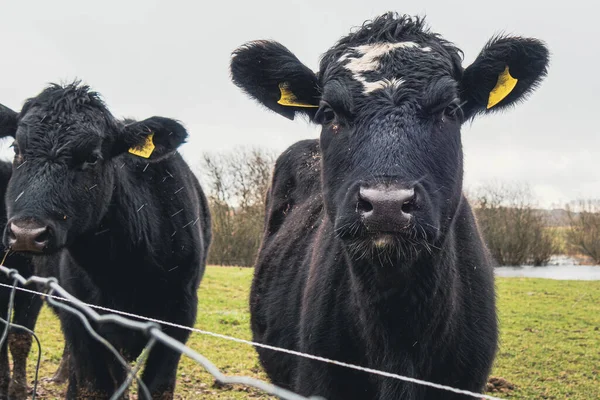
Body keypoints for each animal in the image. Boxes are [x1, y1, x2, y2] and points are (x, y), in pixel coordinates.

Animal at [0, 82, 211, 400]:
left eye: (92, 156)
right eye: (17, 149)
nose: (26, 233)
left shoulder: (181, 313)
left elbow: (158, 388)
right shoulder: (79, 315)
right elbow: (94, 386)